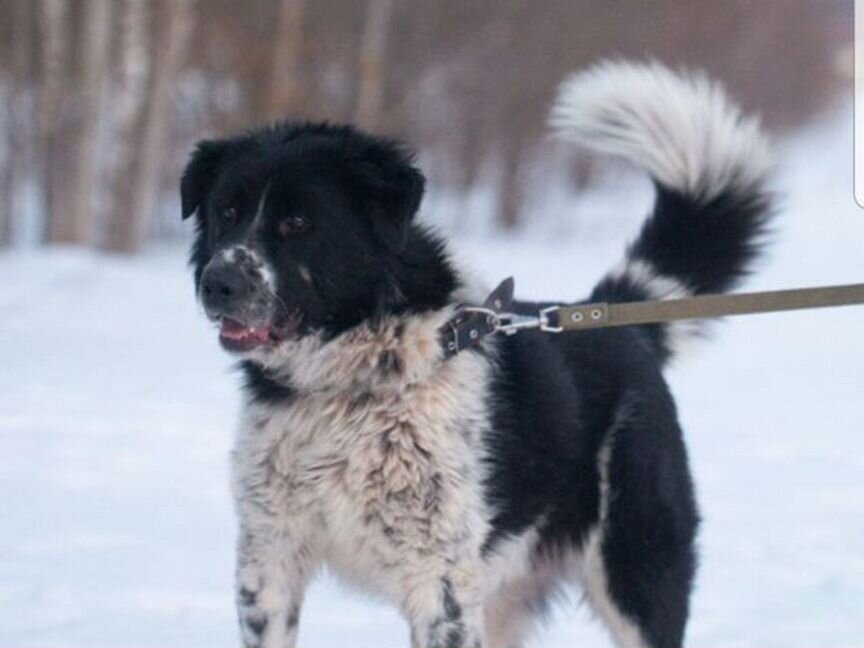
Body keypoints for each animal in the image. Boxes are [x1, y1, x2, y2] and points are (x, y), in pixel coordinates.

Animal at [181, 60, 768, 648]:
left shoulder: (439, 581)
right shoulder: (269, 560)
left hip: (634, 573)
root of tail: (613, 322)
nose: (218, 283)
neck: (350, 385)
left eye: (298, 223)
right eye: (226, 213)